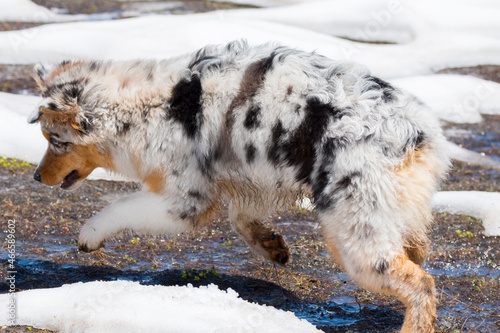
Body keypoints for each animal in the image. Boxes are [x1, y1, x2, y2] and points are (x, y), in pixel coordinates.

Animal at [29, 40, 448, 330]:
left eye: (56, 141)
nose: (35, 176)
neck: (148, 110)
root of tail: (417, 132)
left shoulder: (186, 199)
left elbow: (119, 207)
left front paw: (90, 235)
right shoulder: (246, 179)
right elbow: (241, 221)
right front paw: (272, 247)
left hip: (354, 235)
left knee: (422, 285)